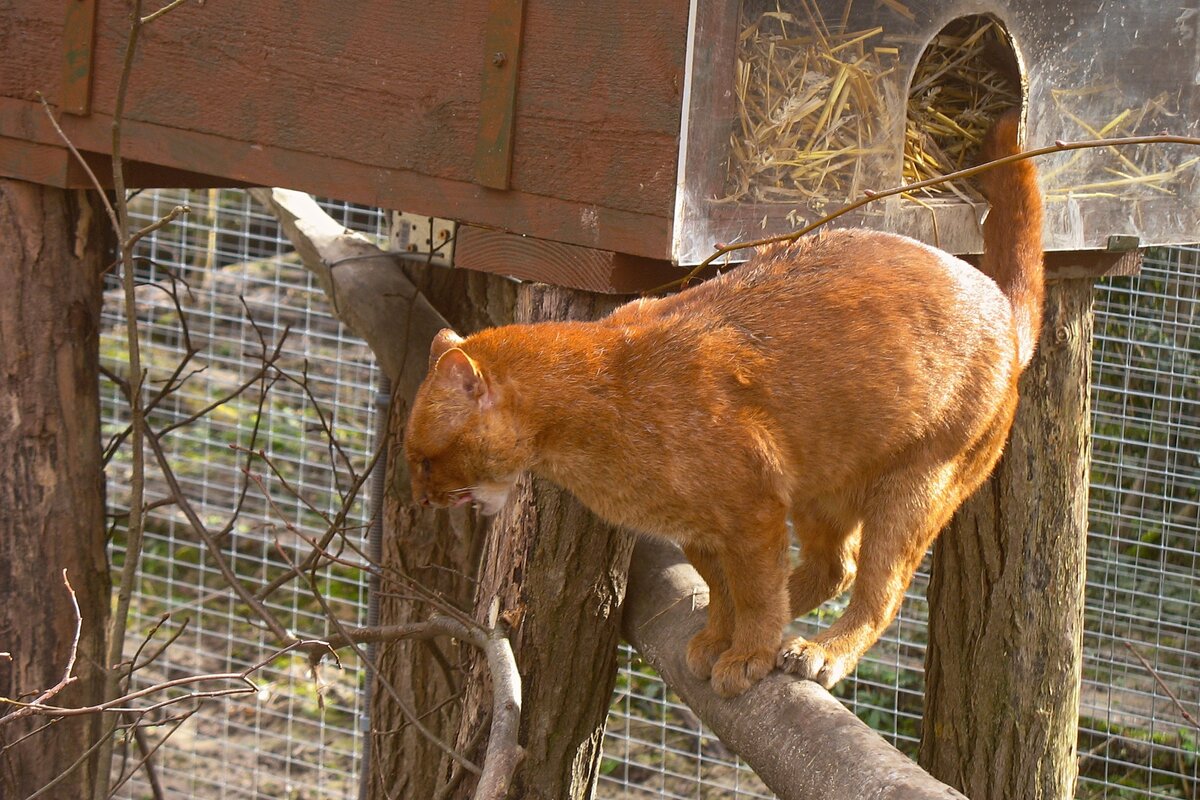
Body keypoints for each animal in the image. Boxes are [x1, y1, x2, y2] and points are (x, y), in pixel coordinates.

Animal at [405, 112, 1041, 695]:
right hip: (824, 486)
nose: (420, 499)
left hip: (919, 484)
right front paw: (718, 637)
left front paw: (748, 655)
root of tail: (1000, 306)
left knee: (878, 589)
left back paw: (820, 651)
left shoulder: (751, 508)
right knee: (835, 567)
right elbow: (725, 587)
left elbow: (754, 590)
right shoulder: (702, 525)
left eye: (426, 459)